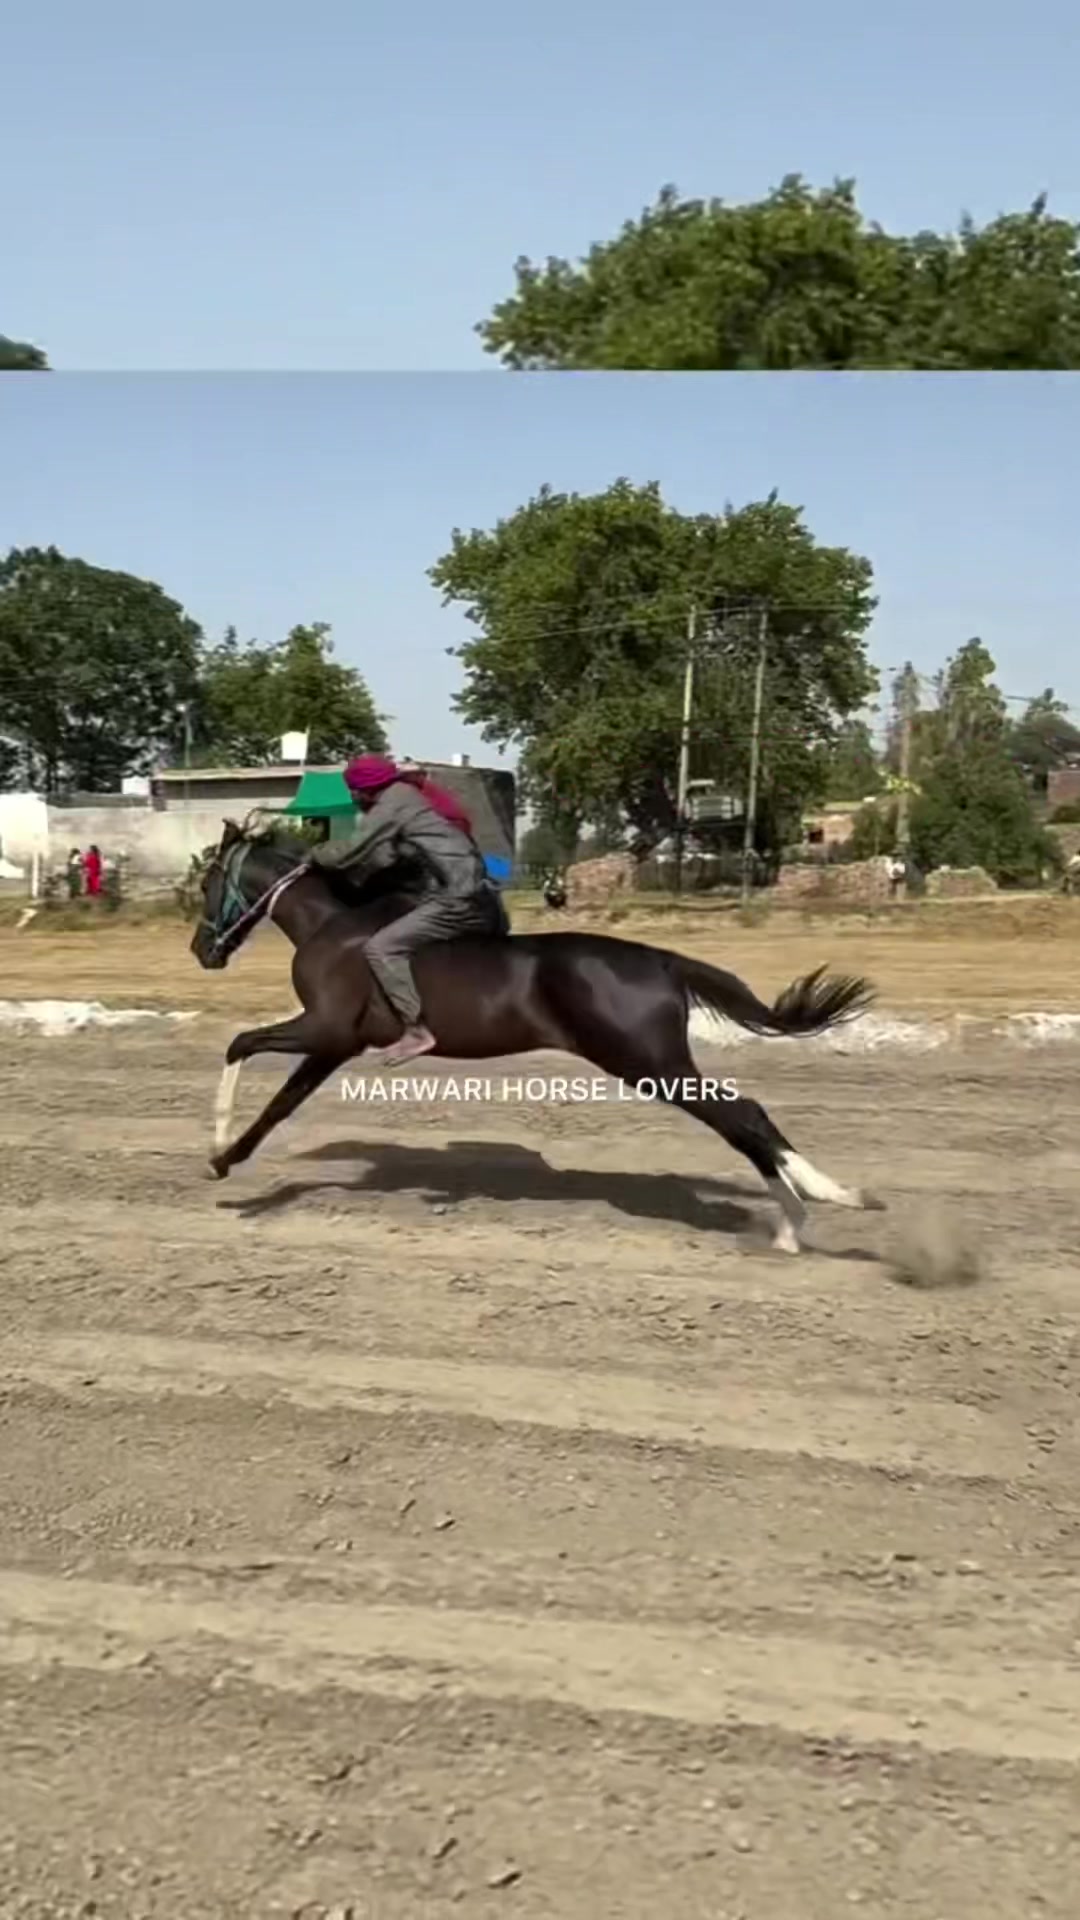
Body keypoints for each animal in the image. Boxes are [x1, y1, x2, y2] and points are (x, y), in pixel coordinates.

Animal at [191, 820, 885, 1253]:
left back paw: (826, 1202)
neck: (333, 926)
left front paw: (217, 1149)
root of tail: (663, 961)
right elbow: (279, 1106)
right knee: (745, 1118)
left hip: (648, 1060)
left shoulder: (325, 1027)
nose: (202, 950)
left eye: (206, 882)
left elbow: (238, 1045)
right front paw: (226, 1161)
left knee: (744, 1115)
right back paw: (797, 1220)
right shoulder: (335, 1044)